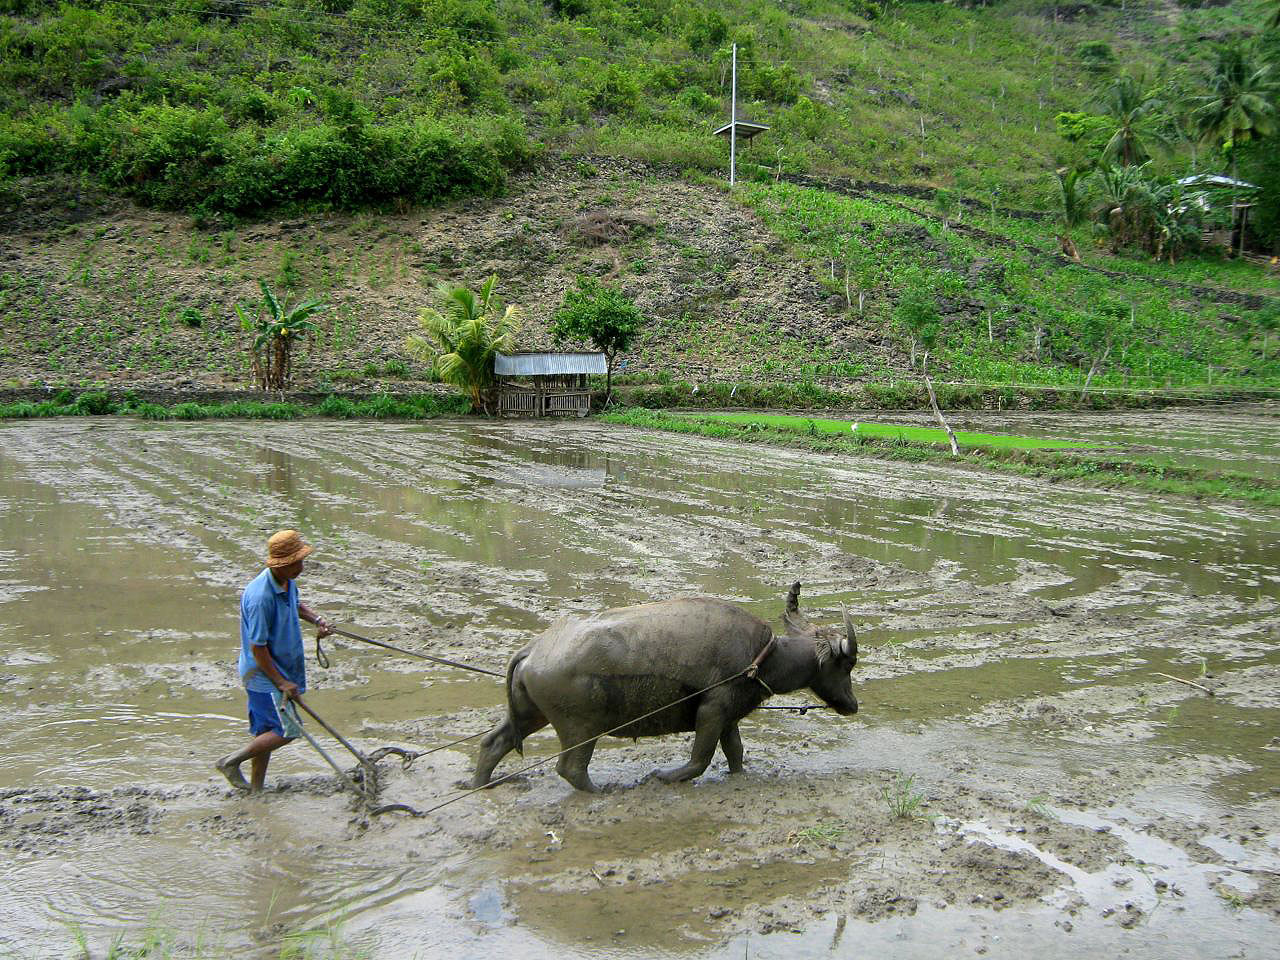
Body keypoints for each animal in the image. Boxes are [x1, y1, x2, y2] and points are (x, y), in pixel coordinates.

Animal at [473, 583, 860, 793]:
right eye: (847, 664)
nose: (853, 704)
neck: (763, 658)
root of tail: (535, 649)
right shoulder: (712, 711)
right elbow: (699, 760)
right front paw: (663, 776)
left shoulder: (728, 718)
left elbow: (735, 752)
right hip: (580, 728)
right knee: (570, 768)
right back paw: (603, 791)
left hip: (531, 714)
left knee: (494, 743)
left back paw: (481, 784)